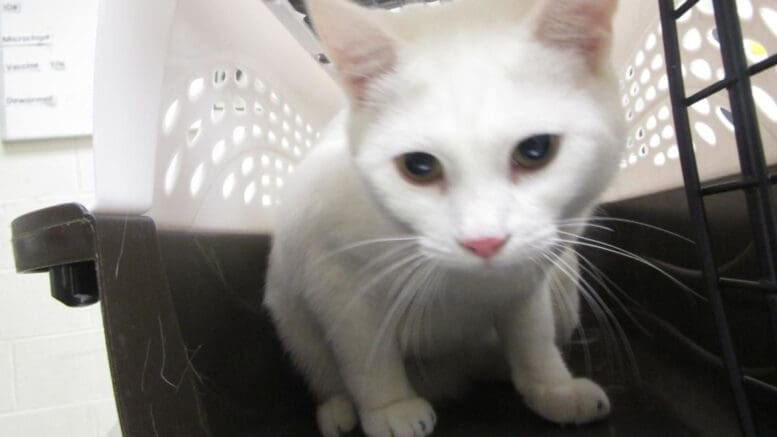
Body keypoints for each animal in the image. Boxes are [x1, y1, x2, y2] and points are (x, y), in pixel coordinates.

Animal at [266, 0, 624, 434]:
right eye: (418, 166)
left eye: (536, 149)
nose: (483, 242)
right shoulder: (333, 275)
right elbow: (366, 353)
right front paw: (390, 407)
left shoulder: (530, 275)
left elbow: (532, 334)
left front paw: (552, 387)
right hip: (289, 314)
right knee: (322, 370)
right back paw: (339, 410)